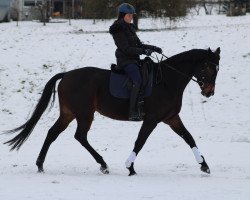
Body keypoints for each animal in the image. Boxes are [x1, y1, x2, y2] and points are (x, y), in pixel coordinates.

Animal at [2, 47, 221, 175]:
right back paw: (103, 164)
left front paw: (204, 165)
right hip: (85, 114)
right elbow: (140, 141)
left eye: (217, 68)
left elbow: (189, 137)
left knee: (52, 133)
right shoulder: (151, 119)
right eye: (208, 67)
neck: (166, 80)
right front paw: (130, 167)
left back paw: (40, 164)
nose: (209, 92)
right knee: (80, 136)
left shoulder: (171, 118)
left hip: (69, 114)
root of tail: (66, 75)